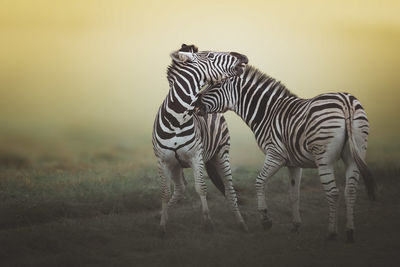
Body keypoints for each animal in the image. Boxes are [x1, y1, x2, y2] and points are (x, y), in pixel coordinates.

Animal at [152, 44, 248, 237]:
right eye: (210, 55)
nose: (242, 56)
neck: (177, 118)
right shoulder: (163, 160)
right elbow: (165, 193)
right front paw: (162, 225)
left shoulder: (196, 156)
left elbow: (201, 187)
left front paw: (208, 222)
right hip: (176, 164)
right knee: (180, 189)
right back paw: (162, 214)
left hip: (221, 153)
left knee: (230, 190)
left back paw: (240, 222)